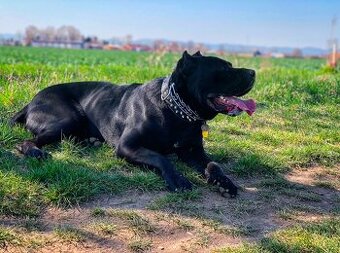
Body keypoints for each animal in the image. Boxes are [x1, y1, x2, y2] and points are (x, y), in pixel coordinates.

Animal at [10, 51, 255, 198]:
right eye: (223, 69)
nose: (253, 72)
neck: (176, 110)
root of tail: (31, 100)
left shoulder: (193, 151)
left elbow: (213, 164)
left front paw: (224, 182)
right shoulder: (128, 146)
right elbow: (161, 157)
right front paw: (177, 179)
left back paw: (91, 141)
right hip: (67, 118)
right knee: (26, 141)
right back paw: (37, 152)